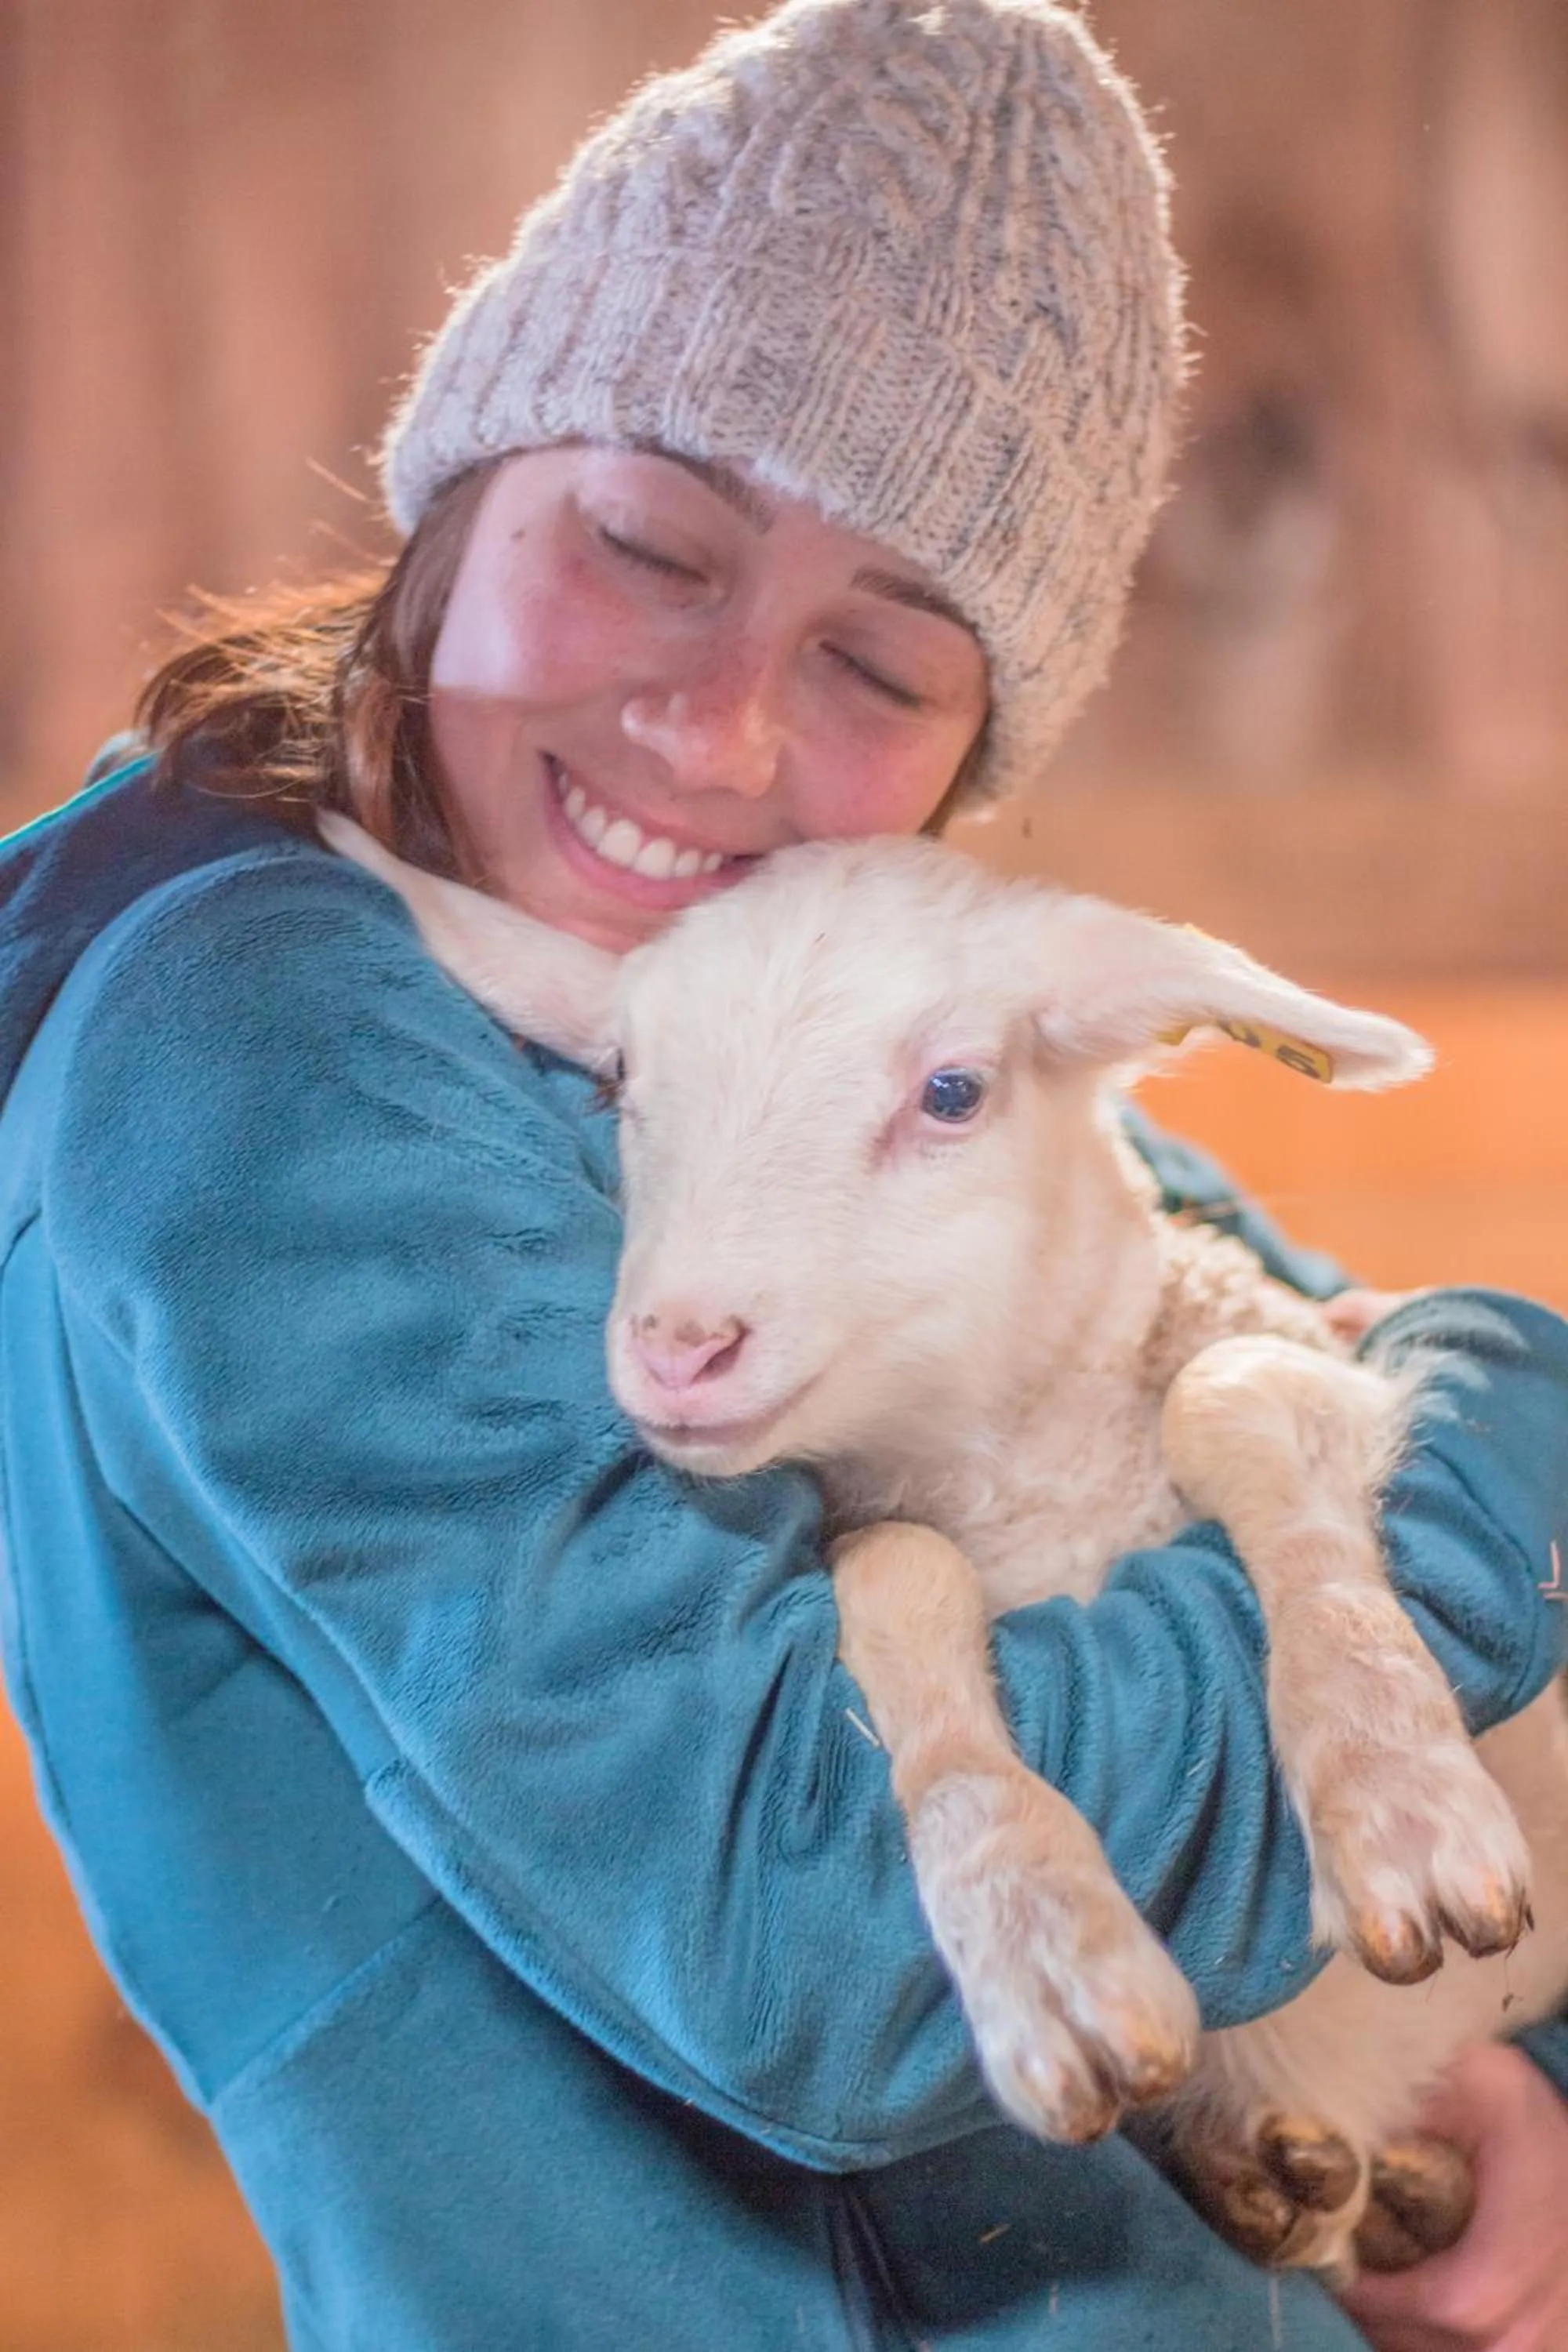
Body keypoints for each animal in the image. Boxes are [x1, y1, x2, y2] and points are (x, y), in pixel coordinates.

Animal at [321, 813, 1568, 2278]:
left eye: (956, 1093)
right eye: (622, 1078)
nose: (681, 1346)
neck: (1027, 1479)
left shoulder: (1327, 1368)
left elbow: (1228, 1395)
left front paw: (1394, 1800)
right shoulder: (884, 1527)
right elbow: (903, 1573)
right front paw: (1044, 1946)